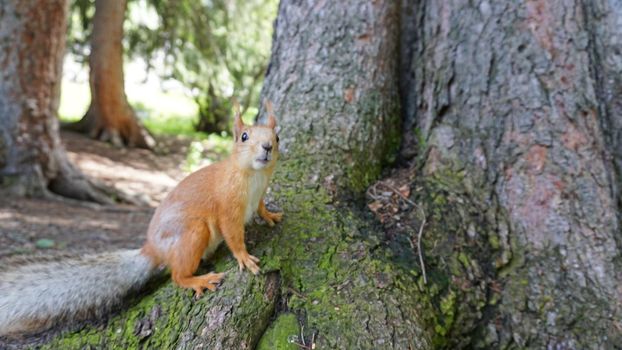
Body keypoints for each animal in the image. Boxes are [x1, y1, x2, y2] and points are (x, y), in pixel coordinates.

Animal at [0, 100, 282, 334]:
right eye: (244, 136)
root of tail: (153, 250)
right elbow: (232, 233)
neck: (253, 176)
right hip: (194, 233)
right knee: (177, 275)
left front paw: (271, 214)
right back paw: (197, 280)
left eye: (277, 137)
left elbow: (260, 207)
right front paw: (244, 257)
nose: (267, 147)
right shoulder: (227, 206)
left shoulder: (258, 195)